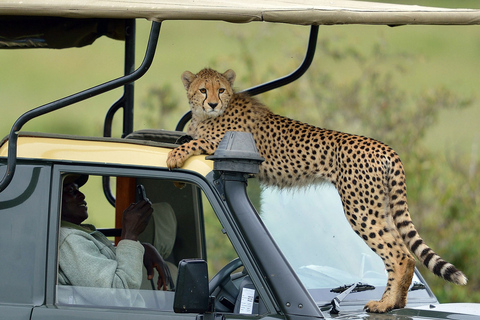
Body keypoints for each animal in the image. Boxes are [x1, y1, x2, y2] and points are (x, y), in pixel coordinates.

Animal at [167, 68, 466, 312]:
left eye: (220, 89)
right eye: (203, 89)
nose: (213, 103)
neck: (209, 114)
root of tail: (384, 146)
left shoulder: (223, 143)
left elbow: (194, 141)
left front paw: (173, 156)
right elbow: (188, 135)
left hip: (361, 210)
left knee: (399, 254)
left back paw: (385, 304)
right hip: (378, 207)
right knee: (403, 253)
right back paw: (396, 302)